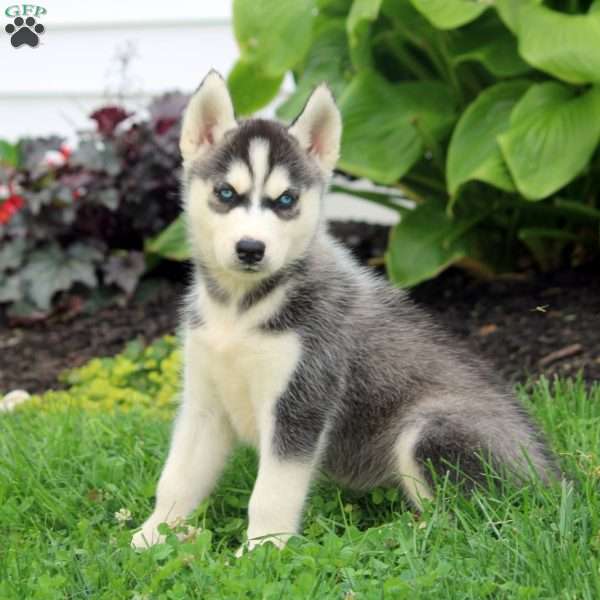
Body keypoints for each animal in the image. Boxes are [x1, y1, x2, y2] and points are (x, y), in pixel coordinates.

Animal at [131, 71, 556, 552]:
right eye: (226, 193)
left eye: (285, 200)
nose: (251, 248)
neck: (240, 310)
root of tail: (555, 479)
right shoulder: (204, 401)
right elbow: (177, 477)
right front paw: (154, 533)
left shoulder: (301, 400)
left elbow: (270, 493)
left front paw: (261, 551)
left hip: (428, 430)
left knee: (468, 522)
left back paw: (390, 537)